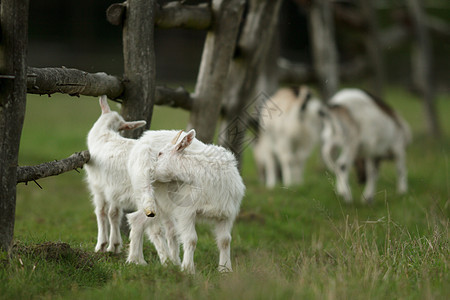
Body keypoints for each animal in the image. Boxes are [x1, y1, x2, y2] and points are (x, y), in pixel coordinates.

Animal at [126, 129, 246, 274]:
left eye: (160, 153)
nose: (150, 171)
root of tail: (141, 140)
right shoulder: (186, 212)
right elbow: (191, 239)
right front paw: (188, 269)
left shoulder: (226, 213)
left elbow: (225, 240)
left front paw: (225, 269)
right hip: (152, 198)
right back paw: (143, 260)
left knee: (137, 220)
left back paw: (137, 260)